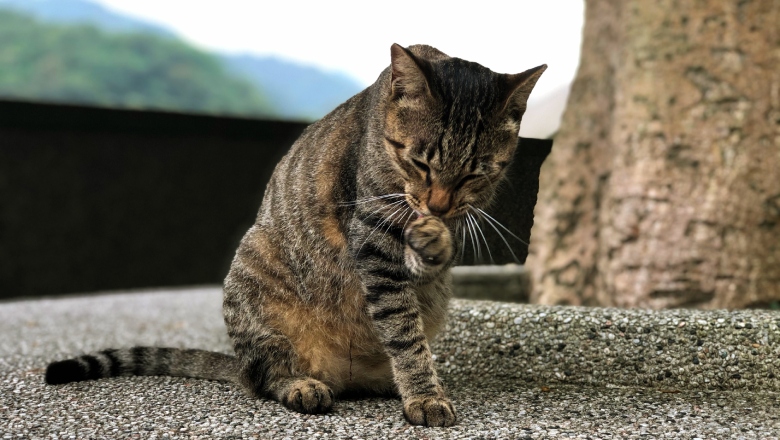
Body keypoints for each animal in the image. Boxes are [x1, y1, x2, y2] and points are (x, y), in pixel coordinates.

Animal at [45, 44, 544, 426]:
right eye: (420, 162)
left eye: (475, 174)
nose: (437, 206)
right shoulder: (373, 243)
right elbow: (403, 333)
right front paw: (424, 395)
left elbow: (418, 294)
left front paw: (435, 240)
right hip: (256, 280)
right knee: (264, 377)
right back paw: (302, 385)